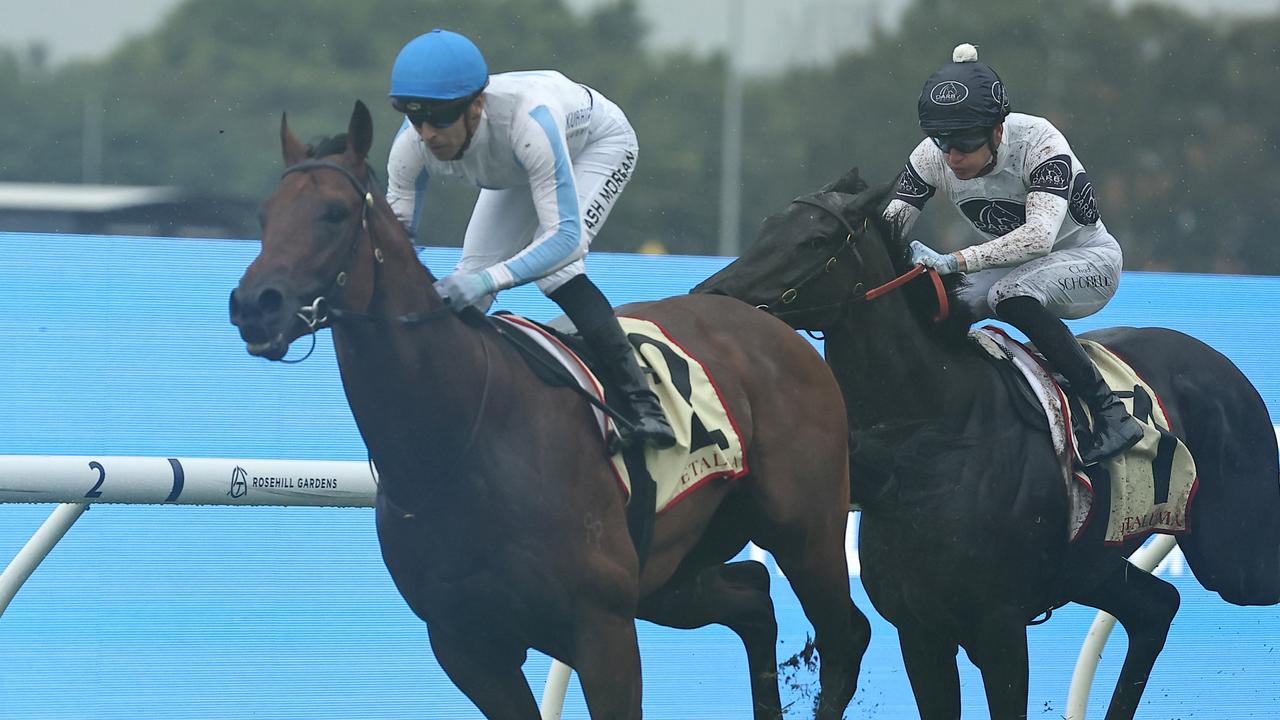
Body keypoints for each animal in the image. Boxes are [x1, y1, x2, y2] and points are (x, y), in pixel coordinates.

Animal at [230, 102, 870, 717]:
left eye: (335, 213)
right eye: (264, 216)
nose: (255, 304)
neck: (459, 438)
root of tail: (770, 322)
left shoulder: (603, 631)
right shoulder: (466, 646)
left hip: (807, 535)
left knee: (847, 636)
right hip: (674, 574)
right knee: (755, 599)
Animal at [696, 165, 1280, 712]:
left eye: (814, 240)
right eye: (767, 226)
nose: (709, 296)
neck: (932, 433)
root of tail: (1223, 366)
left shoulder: (1000, 630)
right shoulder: (921, 632)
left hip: (1234, 556)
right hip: (1088, 568)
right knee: (1156, 607)